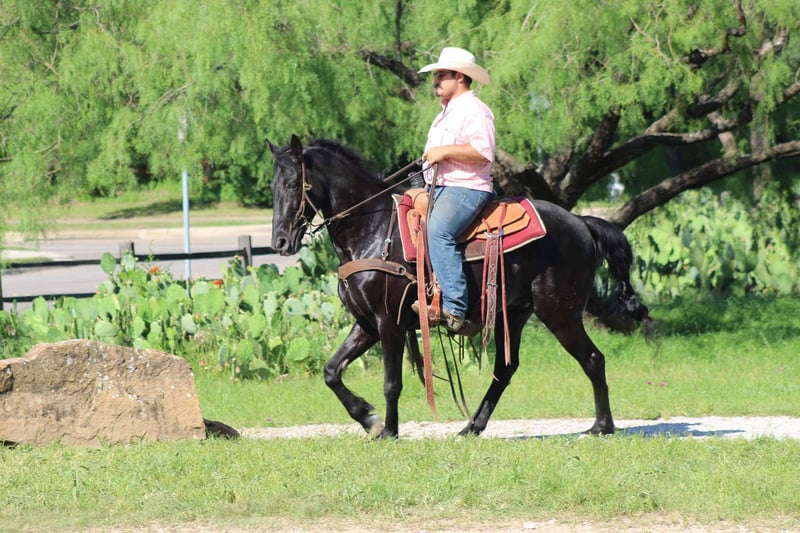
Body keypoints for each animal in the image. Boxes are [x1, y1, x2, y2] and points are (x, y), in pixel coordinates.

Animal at [268, 134, 650, 438]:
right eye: (272, 187)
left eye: (293, 185)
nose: (280, 242)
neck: (372, 230)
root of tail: (582, 223)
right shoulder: (366, 324)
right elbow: (331, 371)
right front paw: (368, 419)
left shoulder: (389, 322)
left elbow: (392, 383)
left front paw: (388, 430)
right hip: (514, 313)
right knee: (505, 370)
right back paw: (472, 426)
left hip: (560, 313)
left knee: (593, 359)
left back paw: (602, 426)